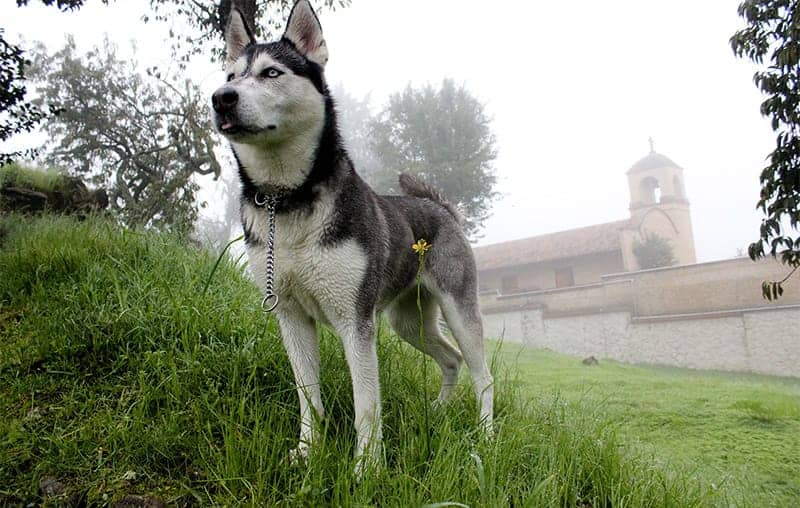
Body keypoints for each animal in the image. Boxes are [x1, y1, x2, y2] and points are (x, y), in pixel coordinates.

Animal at [209, 0, 490, 472]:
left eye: (271, 73)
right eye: (230, 76)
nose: (221, 98)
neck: (287, 200)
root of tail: (442, 208)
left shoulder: (354, 322)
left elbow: (367, 405)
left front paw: (367, 469)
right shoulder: (291, 316)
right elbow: (308, 398)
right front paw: (307, 453)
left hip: (457, 310)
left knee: (482, 375)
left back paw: (486, 436)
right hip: (406, 322)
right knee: (450, 360)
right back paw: (438, 411)